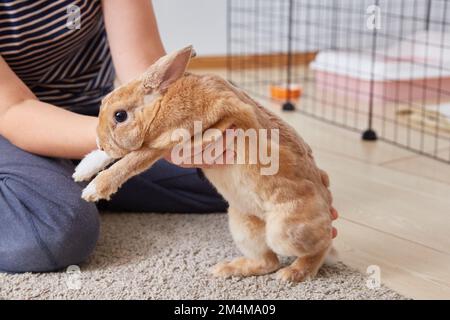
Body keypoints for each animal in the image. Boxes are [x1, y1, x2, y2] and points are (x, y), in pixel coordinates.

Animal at [74, 45, 334, 282]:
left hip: (285, 232)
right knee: (267, 261)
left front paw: (92, 190)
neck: (160, 106)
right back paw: (226, 270)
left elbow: (129, 161)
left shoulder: (165, 143)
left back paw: (293, 273)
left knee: (322, 244)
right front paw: (83, 170)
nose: (100, 142)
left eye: (120, 116)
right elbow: (117, 155)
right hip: (242, 224)